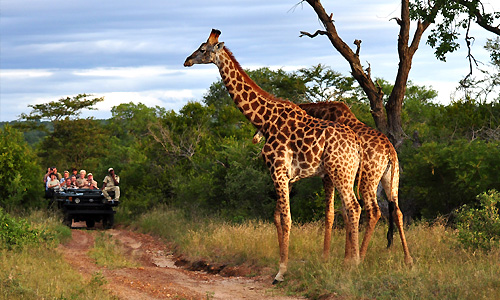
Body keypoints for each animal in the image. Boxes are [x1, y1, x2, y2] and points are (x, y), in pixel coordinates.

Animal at [184, 30, 364, 284]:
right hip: (344, 173)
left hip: (340, 172)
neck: (265, 119)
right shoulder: (286, 176)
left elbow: (287, 219)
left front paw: (281, 272)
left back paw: (354, 265)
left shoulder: (277, 171)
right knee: (349, 210)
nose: (186, 60)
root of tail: (356, 145)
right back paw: (349, 262)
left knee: (354, 208)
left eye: (202, 49)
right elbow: (277, 217)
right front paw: (280, 266)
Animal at [254, 101, 414, 264]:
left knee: (374, 211)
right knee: (397, 211)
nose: (256, 139)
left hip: (367, 179)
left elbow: (334, 212)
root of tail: (390, 151)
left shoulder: (328, 176)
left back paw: (362, 255)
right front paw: (347, 257)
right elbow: (345, 212)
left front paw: (333, 256)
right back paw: (408, 259)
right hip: (391, 179)